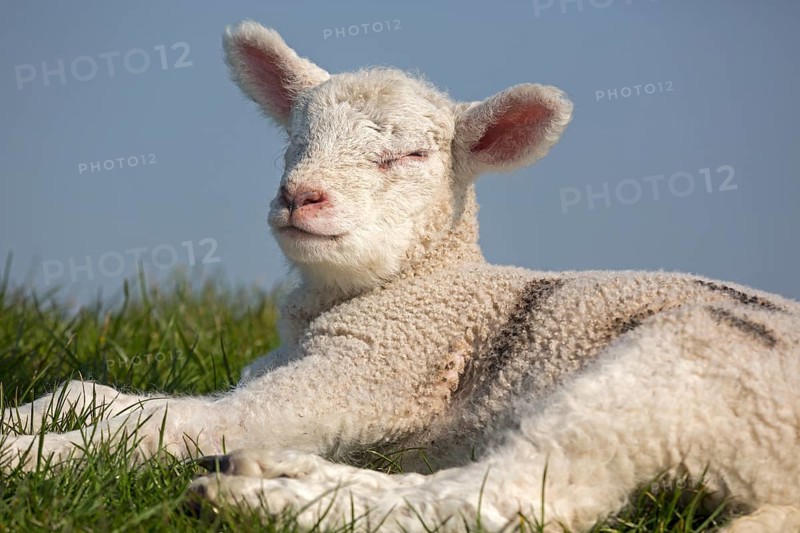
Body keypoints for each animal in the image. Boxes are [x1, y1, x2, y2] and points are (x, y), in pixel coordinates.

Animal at [2, 19, 800, 532]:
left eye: (411, 156)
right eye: (294, 140)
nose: (300, 195)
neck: (417, 287)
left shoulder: (378, 369)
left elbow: (153, 422)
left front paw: (26, 456)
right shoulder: (299, 364)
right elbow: (98, 396)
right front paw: (26, 420)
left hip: (673, 374)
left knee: (508, 497)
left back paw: (264, 502)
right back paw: (271, 472)